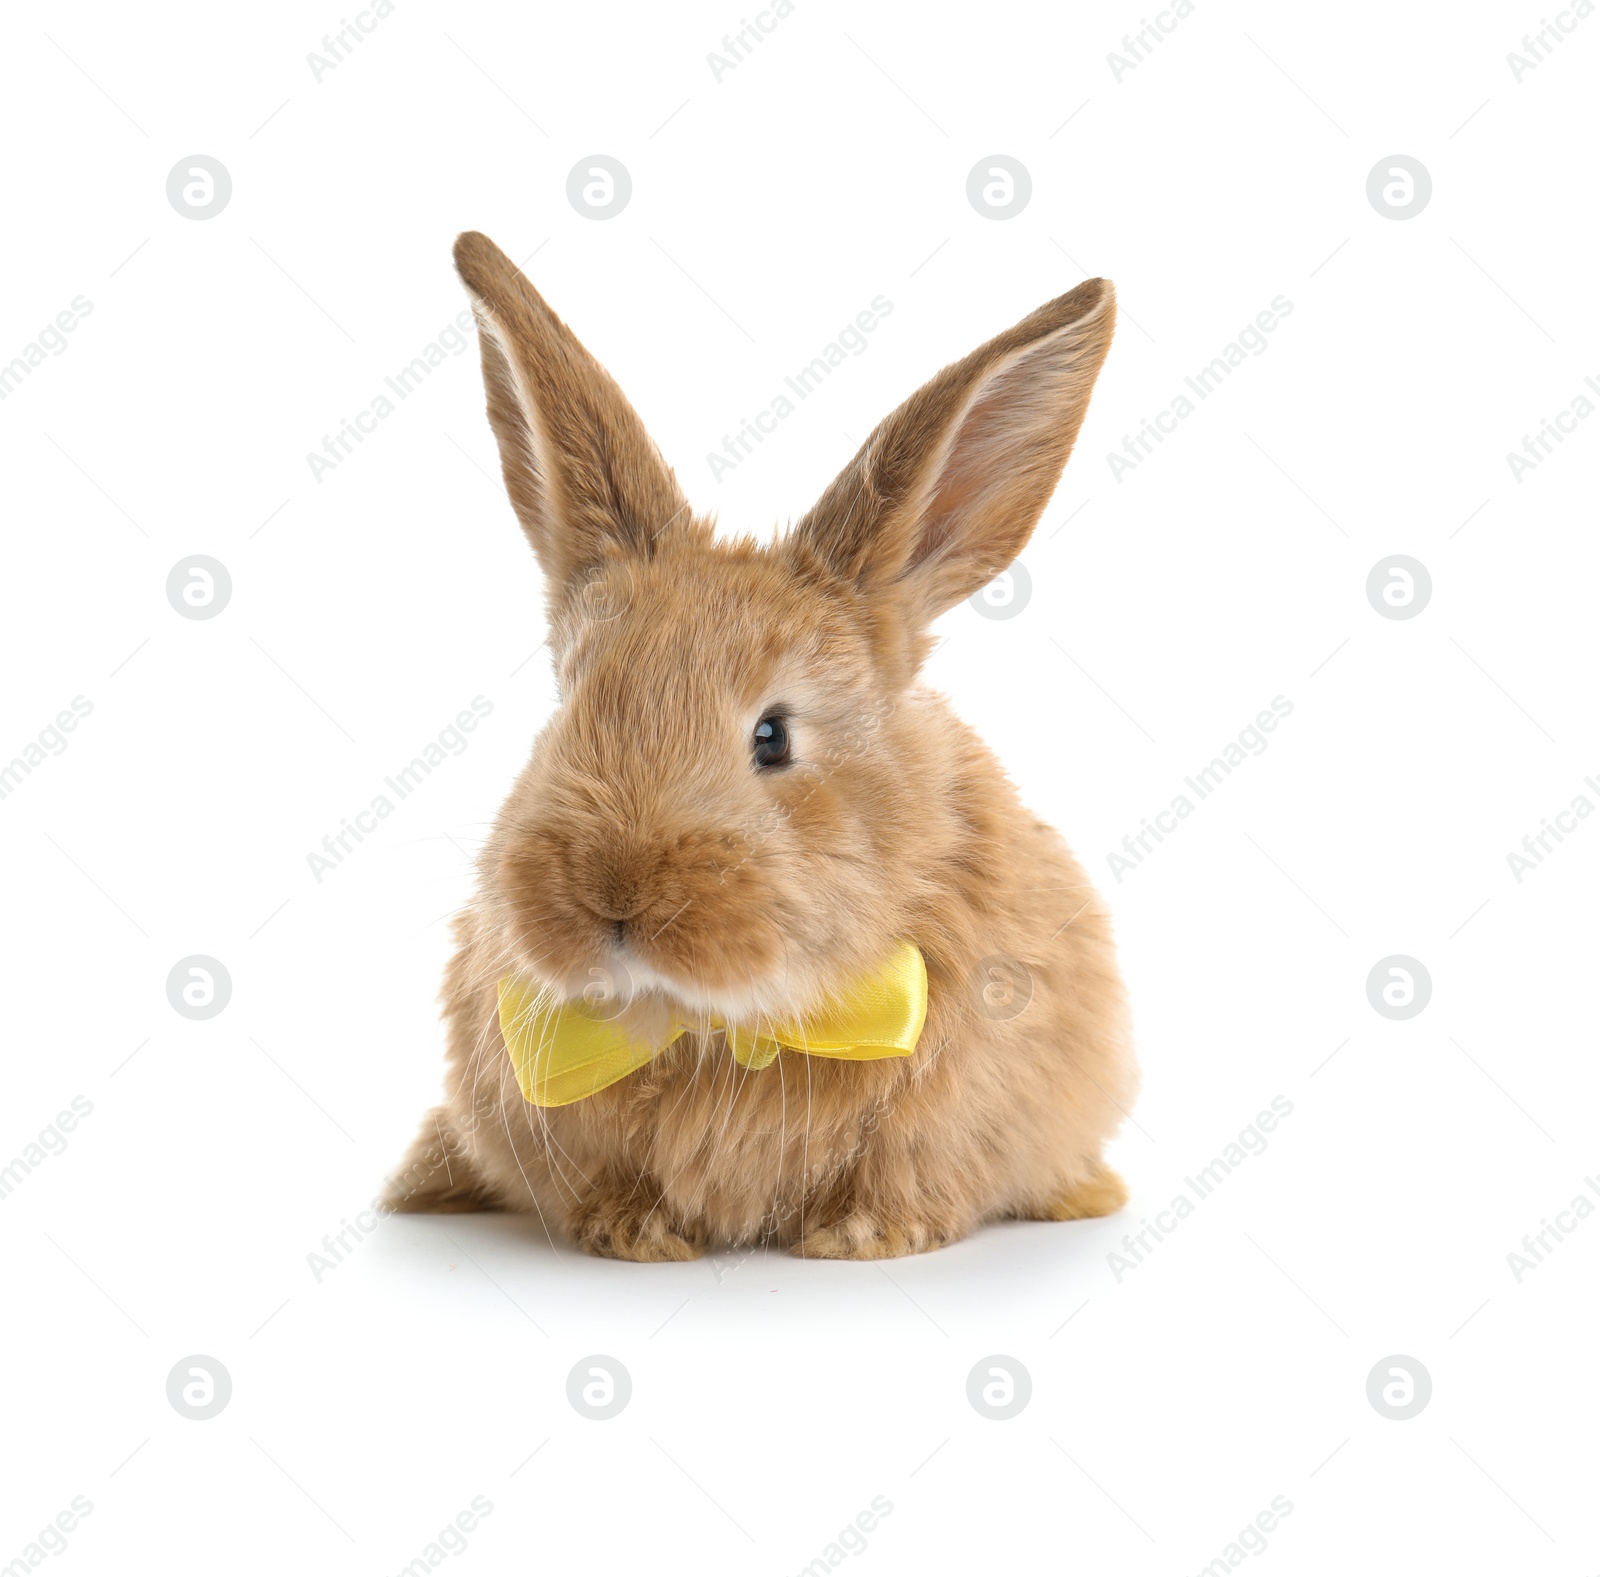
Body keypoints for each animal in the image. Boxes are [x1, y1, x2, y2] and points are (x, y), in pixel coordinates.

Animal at [382, 233, 1139, 1260]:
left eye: (772, 737)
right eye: (570, 703)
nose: (612, 895)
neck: (724, 1022)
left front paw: (864, 1235)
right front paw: (633, 1233)